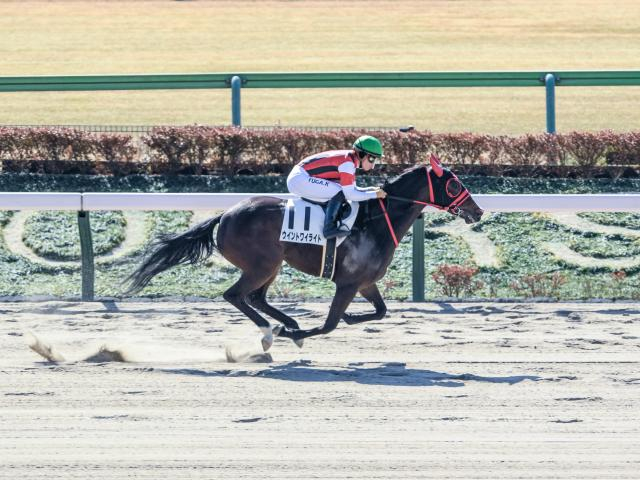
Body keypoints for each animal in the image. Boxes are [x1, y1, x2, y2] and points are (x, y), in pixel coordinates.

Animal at [127, 156, 482, 350]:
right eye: (454, 184)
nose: (477, 211)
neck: (376, 222)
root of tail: (225, 215)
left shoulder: (366, 282)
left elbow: (380, 312)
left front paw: (349, 318)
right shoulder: (347, 284)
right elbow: (329, 325)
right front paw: (298, 332)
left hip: (272, 265)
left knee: (256, 298)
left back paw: (284, 324)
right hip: (261, 265)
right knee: (235, 296)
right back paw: (272, 332)